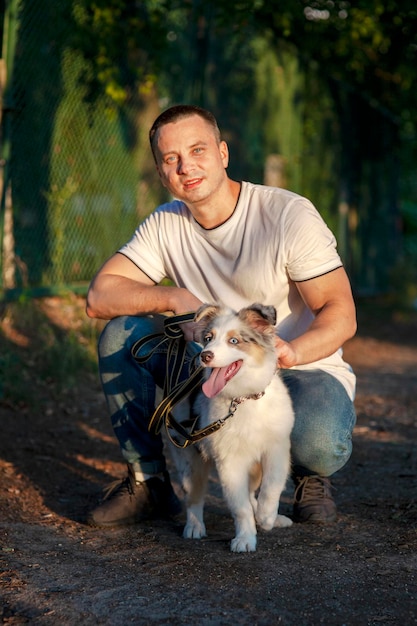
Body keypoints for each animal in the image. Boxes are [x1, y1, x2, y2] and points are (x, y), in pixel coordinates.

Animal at [171, 302, 294, 552]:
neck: (244, 399)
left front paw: (267, 517)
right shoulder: (229, 462)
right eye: (208, 338)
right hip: (190, 460)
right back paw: (194, 526)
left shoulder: (277, 447)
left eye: (234, 340)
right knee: (194, 497)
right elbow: (240, 507)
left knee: (252, 492)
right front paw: (245, 538)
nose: (205, 355)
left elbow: (272, 486)